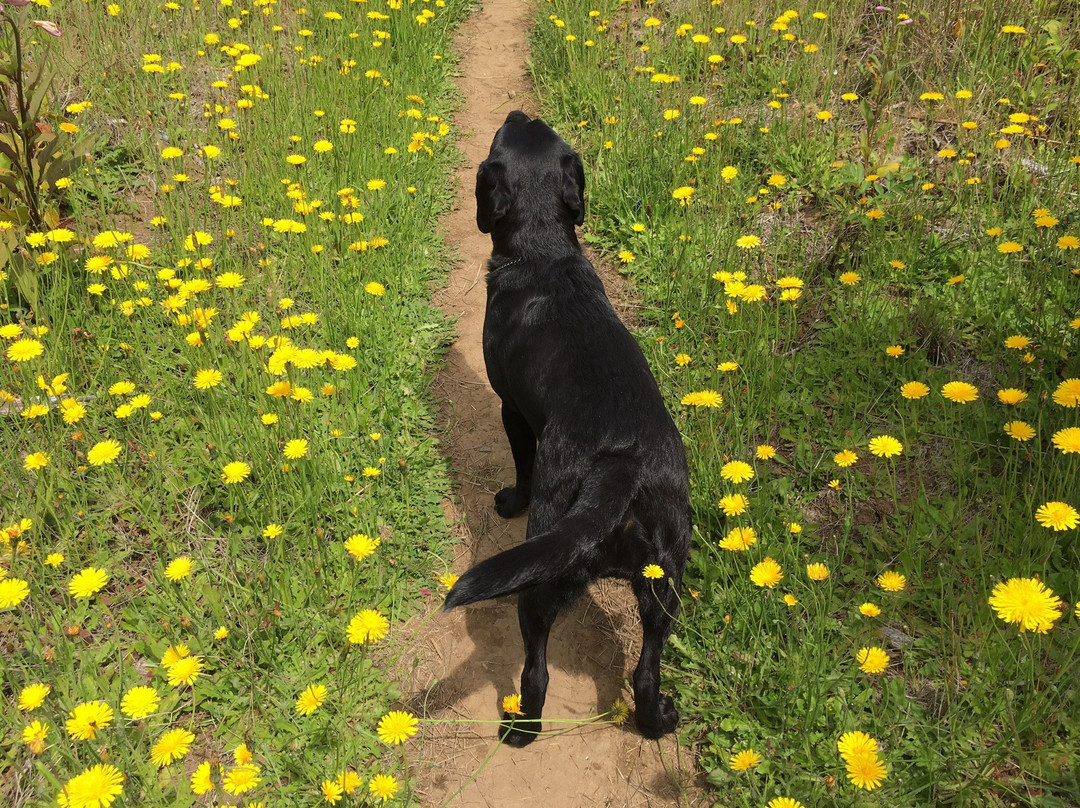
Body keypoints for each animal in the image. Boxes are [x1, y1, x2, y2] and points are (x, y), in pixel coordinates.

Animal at [444, 110, 691, 747]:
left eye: (503, 135)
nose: (516, 112)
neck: (543, 253)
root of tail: (619, 464)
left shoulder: (511, 408)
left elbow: (520, 464)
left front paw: (508, 499)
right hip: (665, 586)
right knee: (646, 674)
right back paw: (658, 720)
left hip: (539, 577)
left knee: (537, 672)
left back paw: (519, 729)